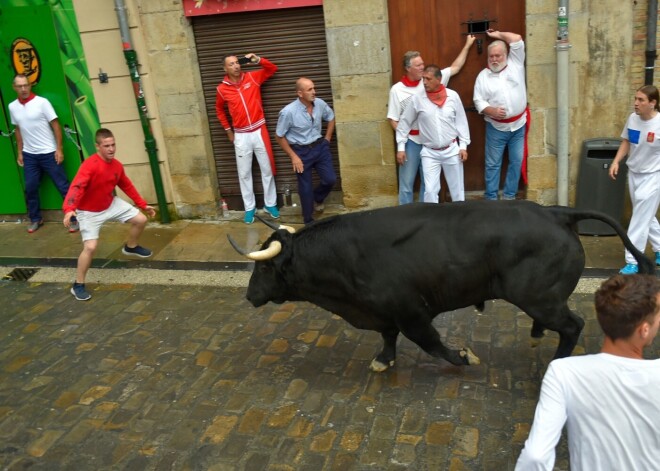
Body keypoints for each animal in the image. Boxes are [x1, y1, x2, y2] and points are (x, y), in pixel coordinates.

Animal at [229, 202, 652, 372]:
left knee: (572, 325)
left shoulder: (412, 312)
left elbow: (432, 343)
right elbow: (387, 338)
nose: (248, 295)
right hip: (543, 299)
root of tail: (555, 212)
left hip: (539, 297)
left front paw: (464, 357)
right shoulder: (384, 312)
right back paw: (536, 335)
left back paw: (555, 360)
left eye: (263, 268)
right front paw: (383, 360)